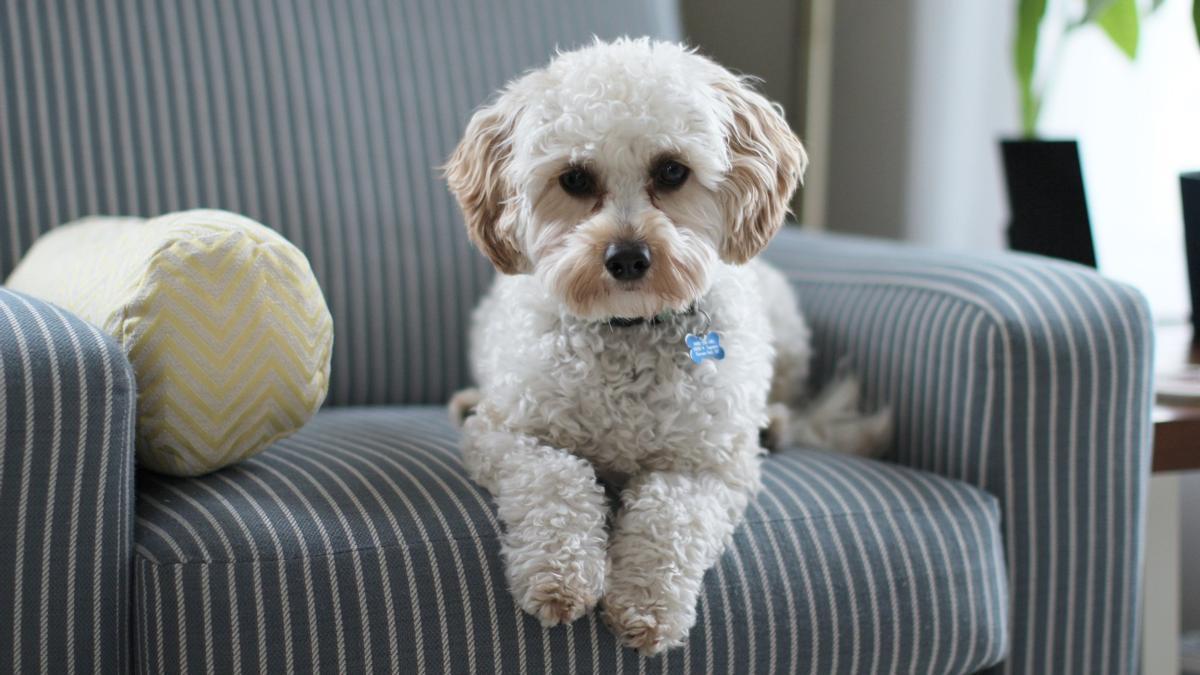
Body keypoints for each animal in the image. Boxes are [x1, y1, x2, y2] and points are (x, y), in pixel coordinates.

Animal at [444, 36, 892, 653]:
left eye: (672, 170)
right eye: (575, 179)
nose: (628, 257)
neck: (628, 329)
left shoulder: (706, 466)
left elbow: (669, 516)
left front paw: (646, 603)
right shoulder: (509, 435)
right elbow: (557, 480)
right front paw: (560, 575)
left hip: (786, 331)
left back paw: (774, 424)